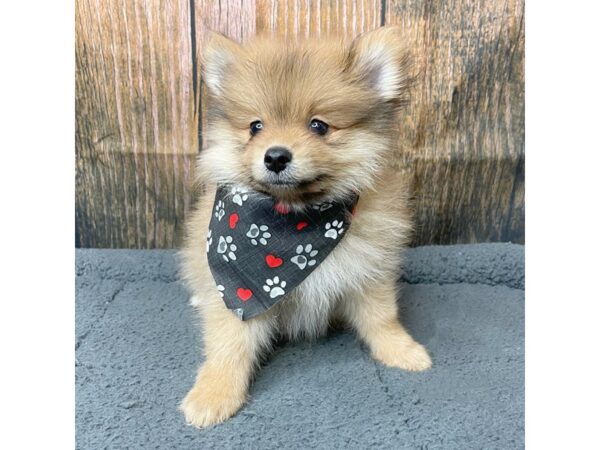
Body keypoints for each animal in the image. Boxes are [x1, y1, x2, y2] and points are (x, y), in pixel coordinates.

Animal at [178, 26, 432, 428]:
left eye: (319, 126)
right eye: (256, 126)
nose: (276, 156)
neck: (294, 222)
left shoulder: (369, 271)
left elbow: (382, 318)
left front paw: (403, 352)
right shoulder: (239, 294)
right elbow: (229, 344)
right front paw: (213, 395)